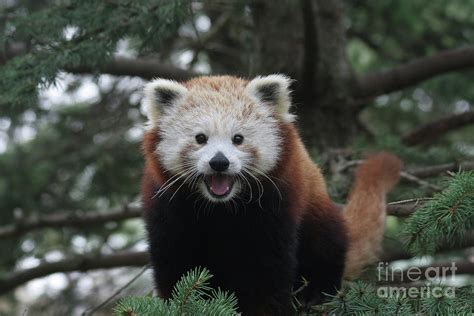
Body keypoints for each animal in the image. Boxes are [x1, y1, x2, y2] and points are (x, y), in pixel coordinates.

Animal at [140, 75, 400, 314]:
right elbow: (175, 264)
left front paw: (265, 308)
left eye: (238, 139)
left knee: (326, 245)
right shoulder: (166, 207)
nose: (219, 162)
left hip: (316, 210)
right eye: (200, 138)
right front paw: (180, 304)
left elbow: (269, 269)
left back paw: (315, 293)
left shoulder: (277, 205)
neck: (221, 207)